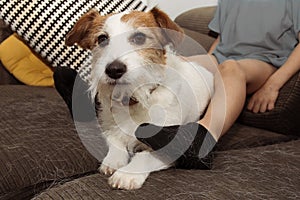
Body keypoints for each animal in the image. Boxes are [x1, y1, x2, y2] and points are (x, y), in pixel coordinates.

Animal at [65, 7, 213, 189]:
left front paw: (126, 174)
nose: (114, 69)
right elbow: (115, 142)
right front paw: (113, 161)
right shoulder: (109, 127)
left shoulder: (170, 146)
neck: (134, 99)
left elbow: (145, 157)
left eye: (140, 37)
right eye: (102, 39)